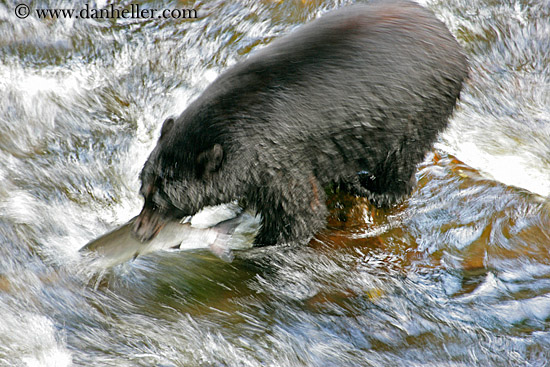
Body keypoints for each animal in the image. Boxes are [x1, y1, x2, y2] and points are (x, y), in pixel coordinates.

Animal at [133, 1, 470, 247]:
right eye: (144, 193)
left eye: (161, 202)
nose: (139, 232)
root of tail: (452, 39)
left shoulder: (278, 157)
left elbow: (298, 213)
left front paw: (265, 244)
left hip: (419, 107)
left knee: (401, 157)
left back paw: (376, 190)